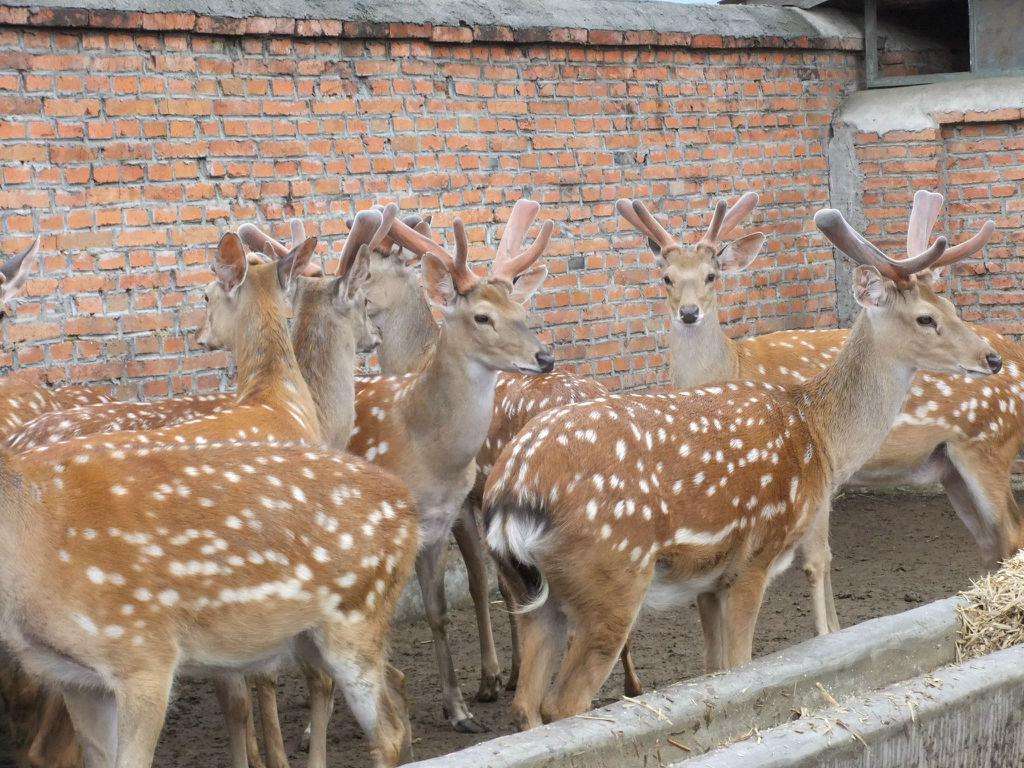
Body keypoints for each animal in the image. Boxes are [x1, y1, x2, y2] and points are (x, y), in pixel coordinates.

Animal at [485, 207, 999, 729]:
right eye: (925, 318)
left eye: (950, 305)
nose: (992, 357)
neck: (818, 436)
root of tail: (512, 493)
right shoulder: (755, 555)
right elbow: (740, 665)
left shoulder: (708, 581)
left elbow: (714, 669)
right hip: (611, 580)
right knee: (563, 703)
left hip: (530, 594)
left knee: (525, 704)